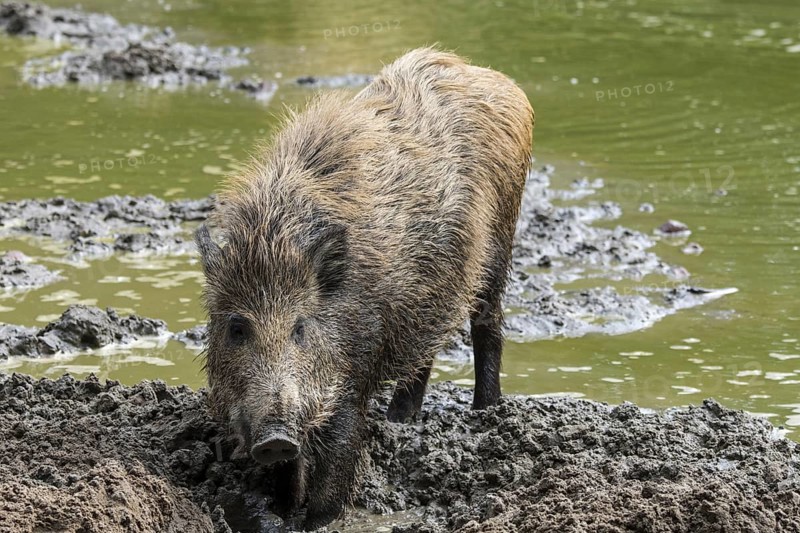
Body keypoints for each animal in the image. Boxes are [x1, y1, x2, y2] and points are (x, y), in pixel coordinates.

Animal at [196, 47, 533, 529]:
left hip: (501, 240)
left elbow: (339, 453)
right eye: (237, 328)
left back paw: (484, 413)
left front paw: (319, 519)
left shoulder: (355, 366)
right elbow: (287, 472)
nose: (274, 436)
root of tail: (495, 78)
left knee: (487, 325)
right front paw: (281, 511)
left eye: (300, 328)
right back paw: (400, 420)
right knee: (423, 350)